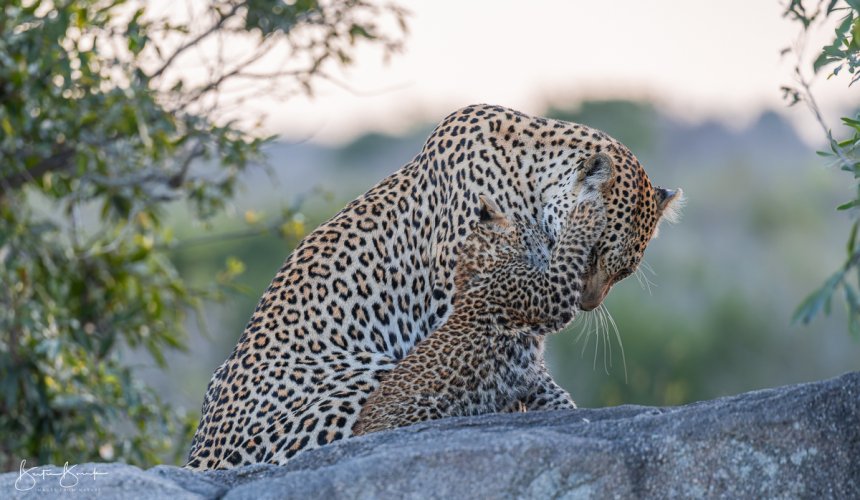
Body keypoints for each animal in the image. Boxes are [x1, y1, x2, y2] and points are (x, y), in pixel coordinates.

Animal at [185, 103, 680, 470]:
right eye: (595, 253)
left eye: (624, 273)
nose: (587, 304)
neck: (528, 178)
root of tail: (198, 456)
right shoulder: (475, 303)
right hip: (366, 375)